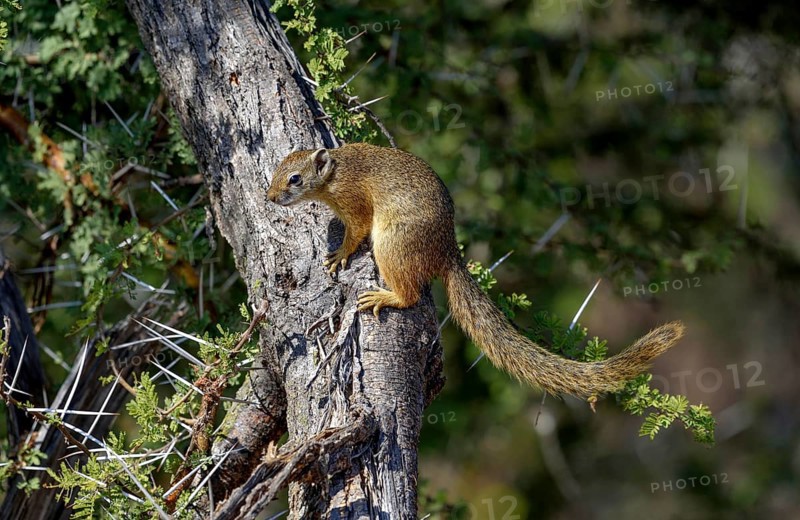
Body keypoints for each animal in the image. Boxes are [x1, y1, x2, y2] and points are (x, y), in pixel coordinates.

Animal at [267, 143, 685, 399]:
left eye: (294, 179)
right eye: (275, 171)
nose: (269, 198)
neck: (336, 173)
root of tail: (447, 252)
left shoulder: (355, 205)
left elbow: (354, 233)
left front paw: (337, 256)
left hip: (392, 245)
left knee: (410, 293)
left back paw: (384, 296)